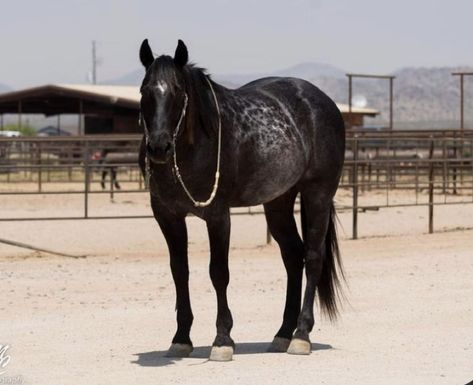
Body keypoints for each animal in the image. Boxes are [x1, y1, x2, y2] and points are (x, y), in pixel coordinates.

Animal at [138, 39, 344, 360]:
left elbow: (218, 273)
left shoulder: (218, 215)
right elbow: (179, 271)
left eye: (178, 91)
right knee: (292, 256)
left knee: (312, 257)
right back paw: (283, 333)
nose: (159, 147)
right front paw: (181, 338)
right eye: (145, 90)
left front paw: (223, 339)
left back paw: (301, 335)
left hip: (318, 195)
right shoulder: (167, 215)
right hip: (278, 202)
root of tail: (322, 102)